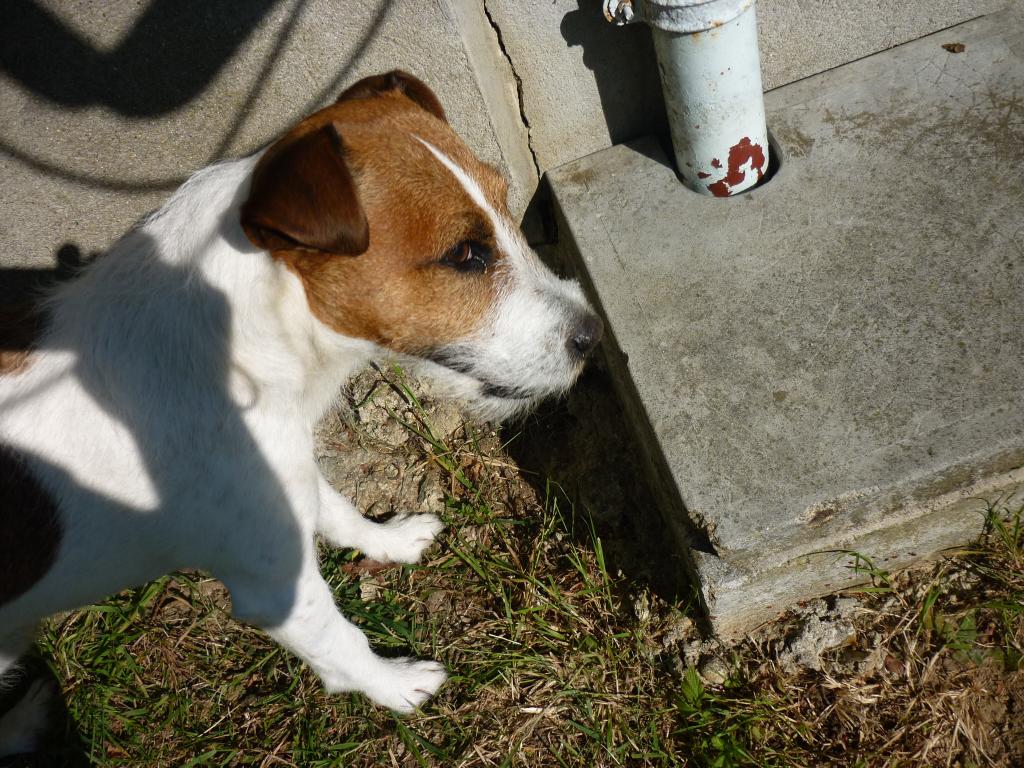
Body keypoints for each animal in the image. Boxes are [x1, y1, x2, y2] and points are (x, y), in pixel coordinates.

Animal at [0, 69, 602, 753]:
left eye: (507, 205)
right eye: (466, 254)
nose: (594, 335)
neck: (241, 332)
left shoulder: (288, 463)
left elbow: (333, 506)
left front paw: (388, 540)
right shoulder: (274, 584)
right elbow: (341, 643)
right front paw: (397, 689)